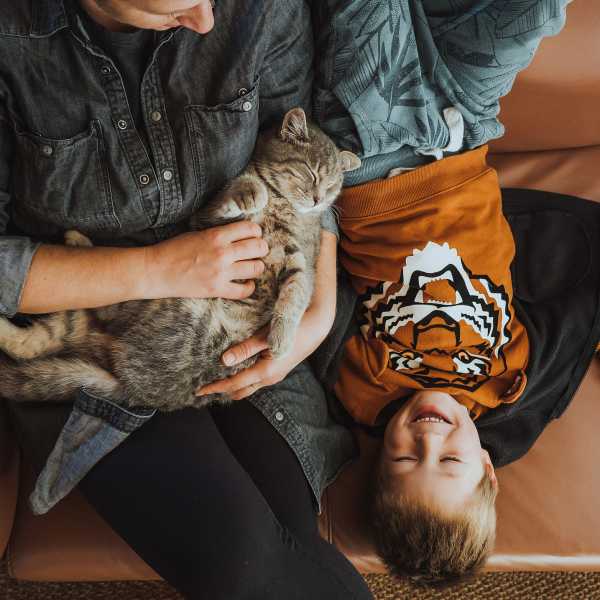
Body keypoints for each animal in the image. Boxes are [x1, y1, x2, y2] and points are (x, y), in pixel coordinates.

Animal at [0, 108, 358, 410]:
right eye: (311, 173)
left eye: (332, 187)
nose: (318, 199)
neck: (281, 206)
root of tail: (129, 387)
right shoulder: (208, 222)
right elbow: (236, 194)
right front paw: (251, 191)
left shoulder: (299, 256)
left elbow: (297, 290)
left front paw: (281, 338)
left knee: (40, 339)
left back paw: (75, 243)